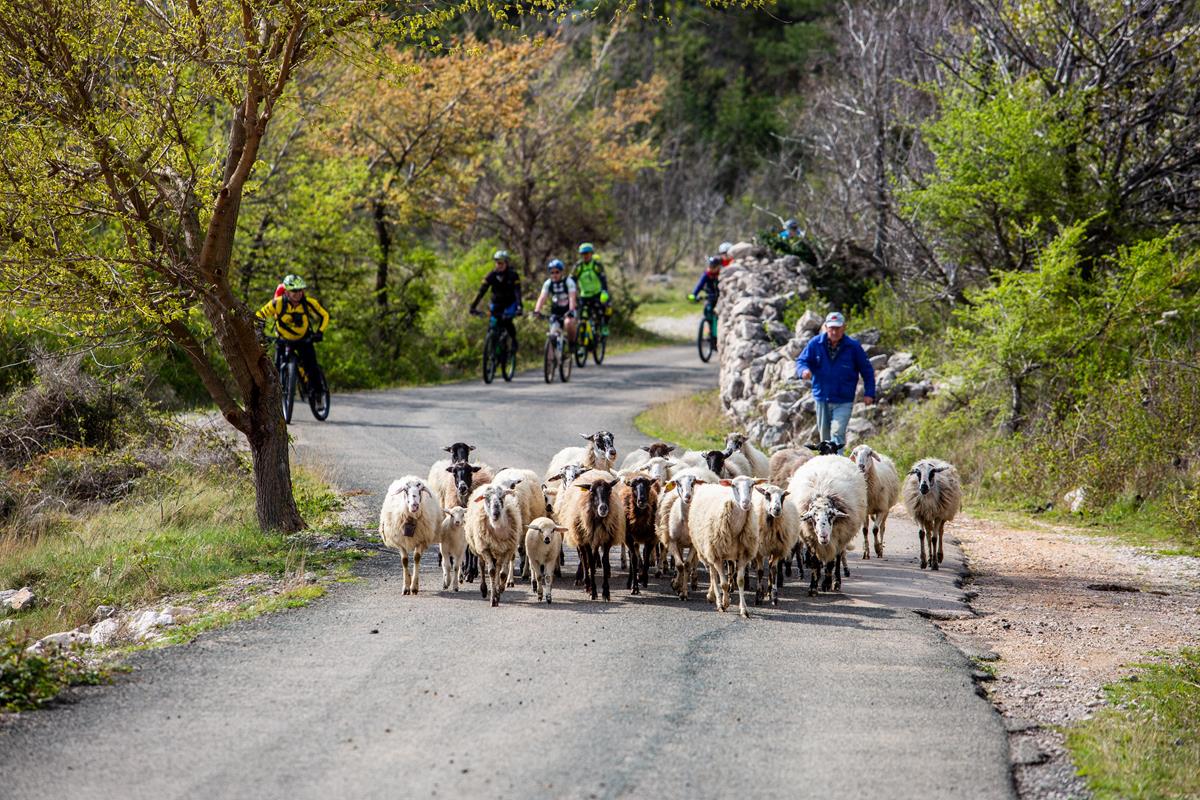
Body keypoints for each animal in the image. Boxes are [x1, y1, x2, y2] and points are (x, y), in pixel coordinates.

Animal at [558, 469, 626, 601]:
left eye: (609, 491)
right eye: (592, 492)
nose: (603, 508)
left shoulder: (606, 540)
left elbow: (604, 562)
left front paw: (606, 592)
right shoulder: (587, 540)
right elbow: (589, 561)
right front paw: (593, 591)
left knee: (591, 558)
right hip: (581, 538)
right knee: (584, 559)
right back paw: (586, 584)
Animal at [687, 476, 763, 617]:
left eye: (752, 485)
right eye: (734, 486)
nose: (745, 503)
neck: (735, 529)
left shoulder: (743, 556)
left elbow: (740, 581)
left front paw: (744, 610)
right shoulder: (716, 555)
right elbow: (723, 584)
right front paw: (724, 603)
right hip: (707, 550)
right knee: (713, 575)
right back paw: (716, 599)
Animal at [788, 455, 867, 595]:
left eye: (831, 515)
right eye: (813, 517)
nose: (823, 536)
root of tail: (831, 455)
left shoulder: (837, 539)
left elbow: (831, 563)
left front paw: (827, 583)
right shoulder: (811, 540)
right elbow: (815, 563)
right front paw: (813, 588)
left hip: (842, 538)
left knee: (838, 559)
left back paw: (836, 582)